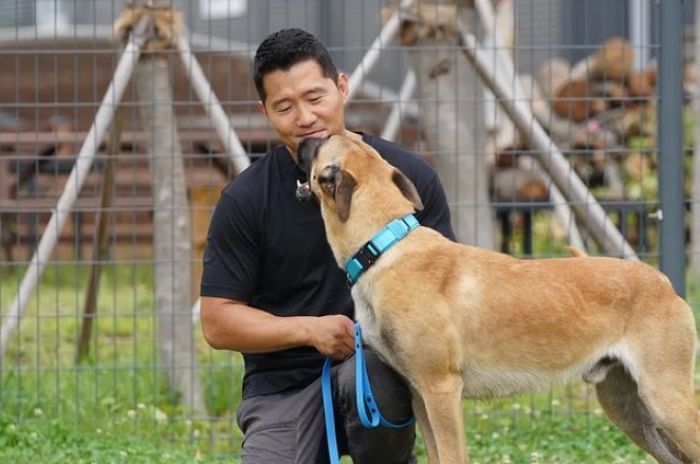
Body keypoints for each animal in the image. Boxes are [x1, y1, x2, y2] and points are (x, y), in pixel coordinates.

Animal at [298, 135, 700, 464]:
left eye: (319, 146)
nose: (301, 140)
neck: (384, 245)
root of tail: (662, 281)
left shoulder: (442, 392)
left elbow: (453, 456)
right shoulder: (419, 394)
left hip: (666, 401)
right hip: (630, 408)